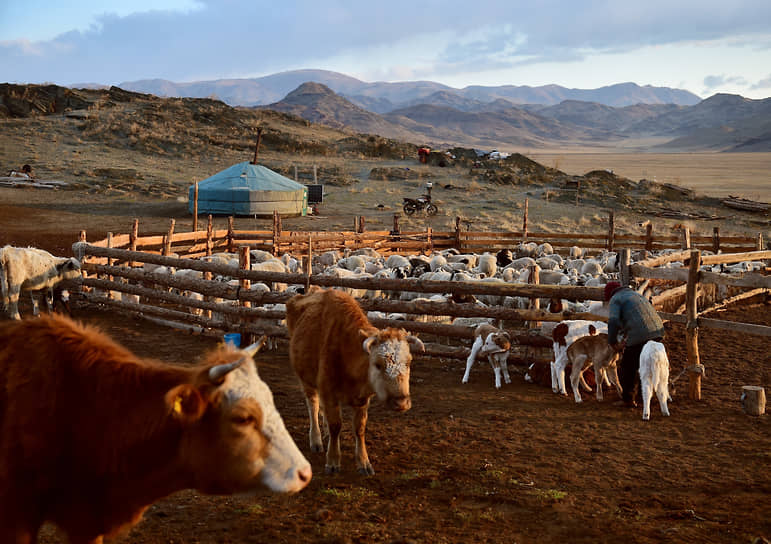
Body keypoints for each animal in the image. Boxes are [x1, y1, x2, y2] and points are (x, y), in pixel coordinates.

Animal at [286, 288, 426, 476]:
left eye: (409, 362)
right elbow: (335, 426)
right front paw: (332, 461)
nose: (401, 402)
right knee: (313, 406)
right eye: (378, 364)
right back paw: (316, 440)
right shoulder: (328, 392)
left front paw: (364, 462)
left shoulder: (362, 399)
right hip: (306, 380)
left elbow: (359, 428)